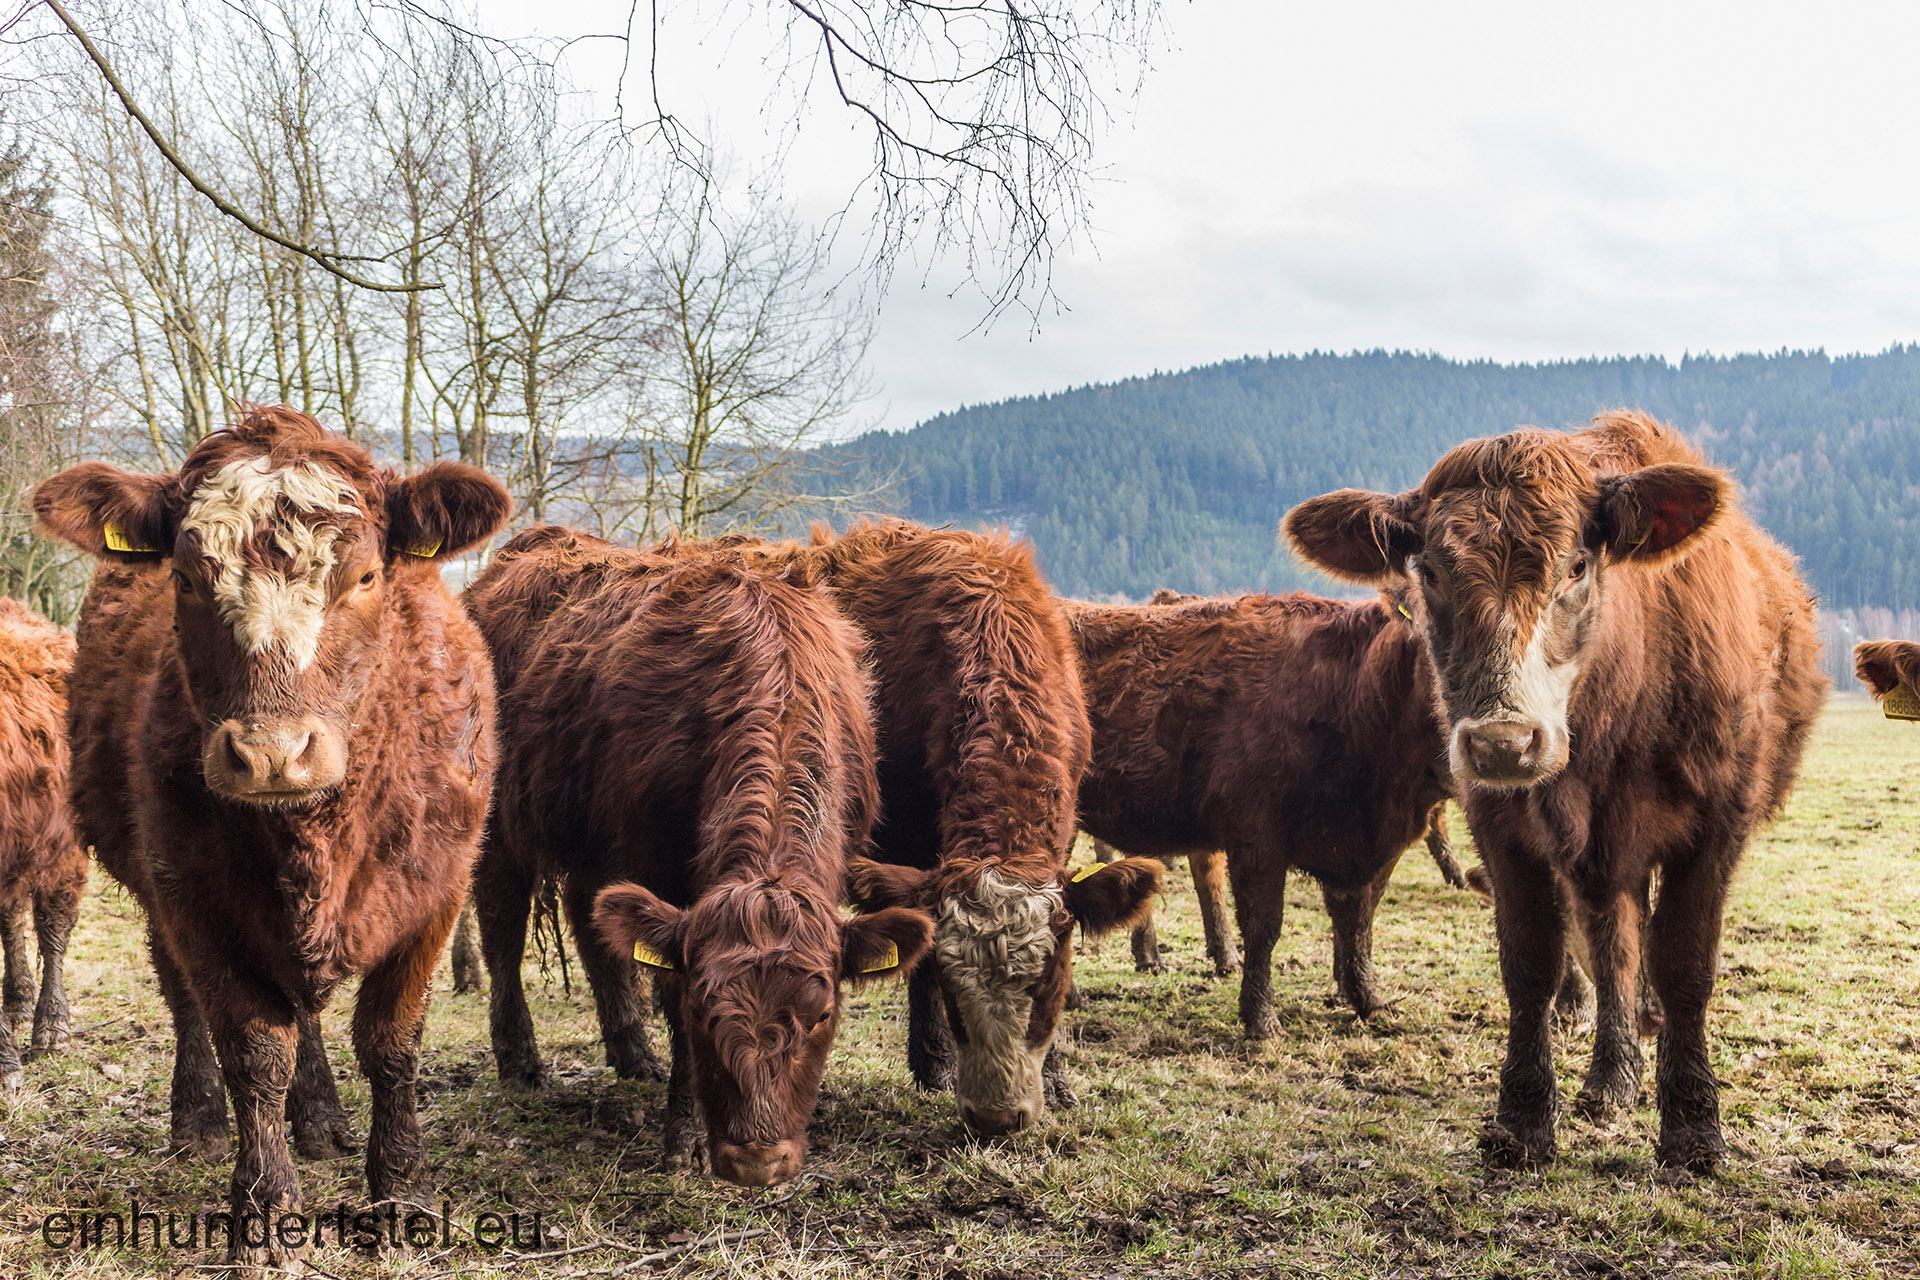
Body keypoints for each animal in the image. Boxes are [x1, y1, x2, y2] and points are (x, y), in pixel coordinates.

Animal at [34, 407, 509, 1271]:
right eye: (187, 579)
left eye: (365, 577)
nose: (270, 754)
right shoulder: (195, 899)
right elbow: (254, 1049)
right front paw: (263, 1208)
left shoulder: (436, 892)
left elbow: (390, 1039)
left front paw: (402, 1193)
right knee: (187, 1001)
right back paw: (198, 1120)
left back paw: (321, 1120)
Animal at [462, 529, 930, 1185]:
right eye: (704, 1012)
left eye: (821, 1015)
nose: (758, 1160)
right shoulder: (659, 869)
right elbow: (666, 987)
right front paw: (684, 1134)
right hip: (502, 818)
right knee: (501, 922)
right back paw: (520, 1061)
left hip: (594, 842)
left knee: (589, 917)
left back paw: (632, 1053)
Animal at [1067, 593, 1451, 1035]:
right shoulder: (1256, 839)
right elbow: (1263, 927)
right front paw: (1261, 1020)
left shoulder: (1368, 847)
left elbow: (1358, 922)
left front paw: (1369, 1000)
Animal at [1286, 409, 1825, 1172]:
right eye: (1430, 573)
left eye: (1576, 565)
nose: (1504, 741)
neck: (1608, 720)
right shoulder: (1504, 827)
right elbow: (1533, 963)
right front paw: (1523, 1119)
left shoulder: (1717, 823)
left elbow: (1685, 962)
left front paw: (1693, 1128)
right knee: (1612, 939)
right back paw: (1613, 1072)